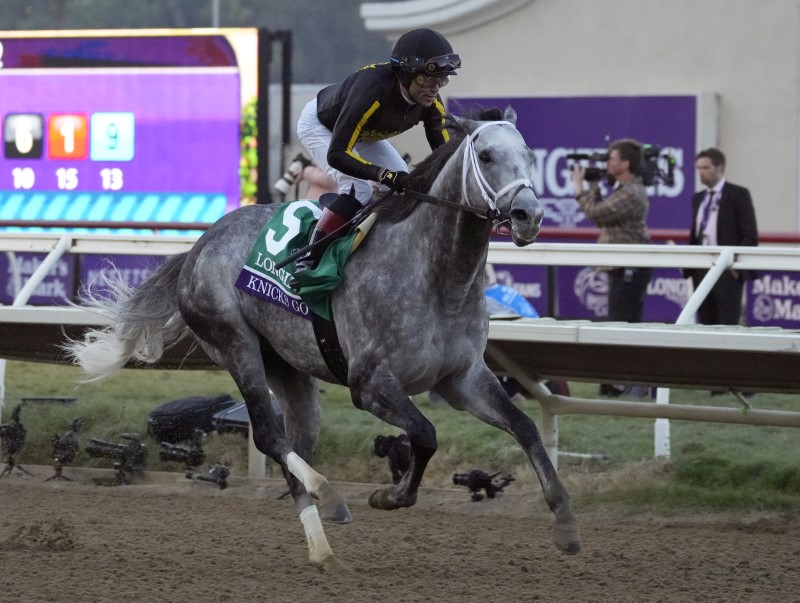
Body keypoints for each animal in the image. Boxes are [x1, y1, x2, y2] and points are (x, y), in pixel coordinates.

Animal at [65, 106, 581, 570]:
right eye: (488, 156)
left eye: (529, 155)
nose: (529, 215)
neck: (437, 276)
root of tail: (199, 246)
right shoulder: (368, 382)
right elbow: (425, 435)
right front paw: (388, 495)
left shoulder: (462, 379)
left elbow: (526, 427)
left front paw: (565, 523)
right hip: (235, 344)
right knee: (270, 436)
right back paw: (328, 496)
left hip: (289, 368)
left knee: (296, 440)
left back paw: (321, 548)